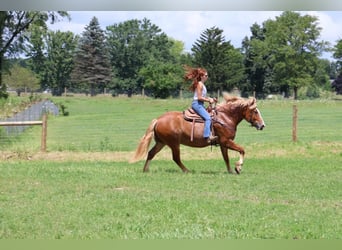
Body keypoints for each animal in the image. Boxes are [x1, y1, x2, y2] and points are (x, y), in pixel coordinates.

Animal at [130, 94, 266, 174]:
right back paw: (187, 171)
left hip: (161, 142)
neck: (225, 118)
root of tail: (158, 119)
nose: (262, 125)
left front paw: (231, 170)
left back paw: (146, 170)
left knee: (151, 153)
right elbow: (242, 150)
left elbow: (226, 158)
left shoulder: (223, 144)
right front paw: (238, 167)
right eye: (255, 111)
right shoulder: (226, 141)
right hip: (174, 143)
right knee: (176, 158)